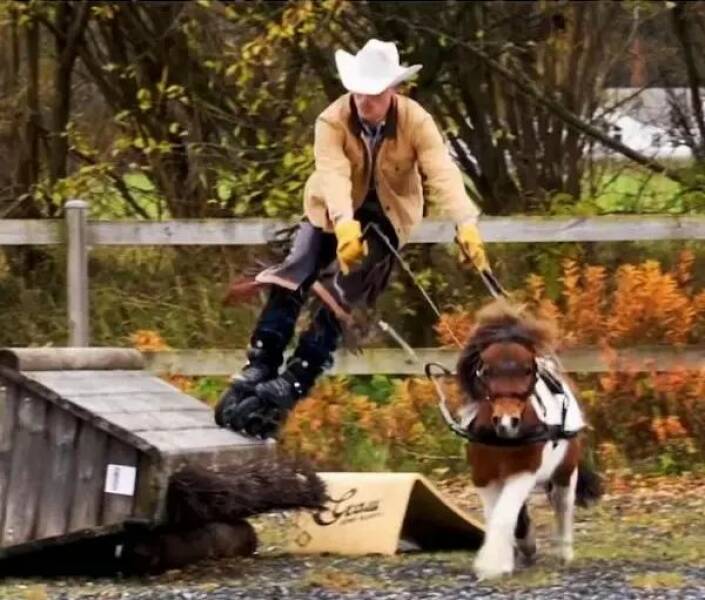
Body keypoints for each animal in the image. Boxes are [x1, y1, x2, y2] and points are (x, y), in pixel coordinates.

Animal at [456, 302, 600, 580]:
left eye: (528, 370)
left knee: (563, 504)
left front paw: (494, 564)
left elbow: (504, 515)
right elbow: (498, 514)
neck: (501, 439)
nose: (507, 420)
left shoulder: (523, 471)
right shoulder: (482, 476)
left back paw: (564, 552)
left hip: (566, 470)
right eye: (486, 370)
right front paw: (515, 552)